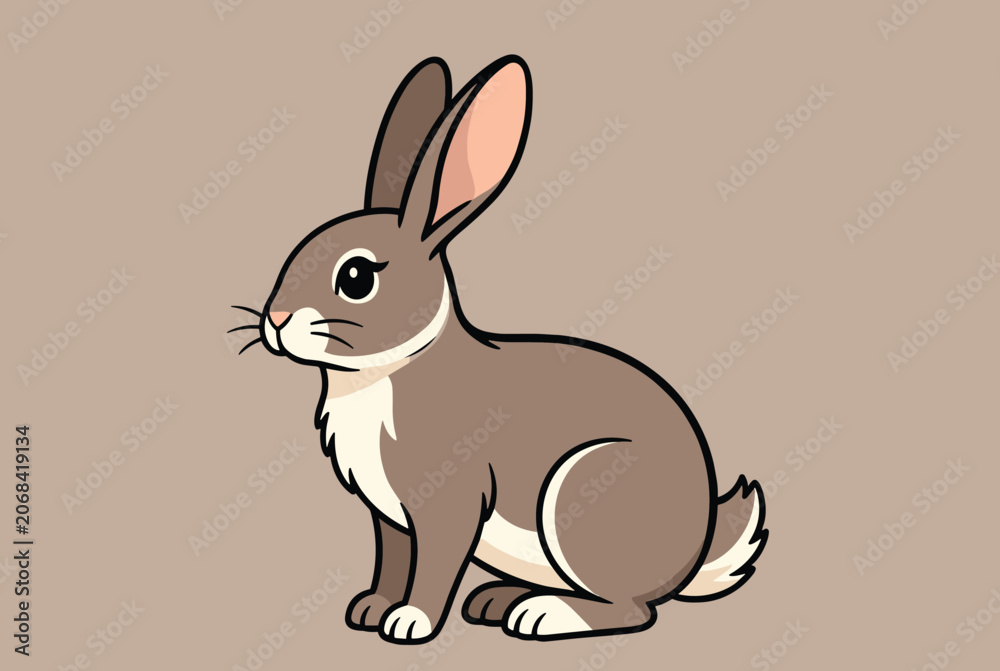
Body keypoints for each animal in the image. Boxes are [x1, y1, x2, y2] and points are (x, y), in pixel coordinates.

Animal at [242, 55, 767, 644]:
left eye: (356, 277)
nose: (275, 321)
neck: (388, 371)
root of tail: (694, 555)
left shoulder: (449, 504)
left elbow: (435, 566)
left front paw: (410, 622)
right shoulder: (390, 518)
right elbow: (393, 560)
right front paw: (371, 610)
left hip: (582, 494)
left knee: (633, 611)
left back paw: (540, 615)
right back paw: (497, 600)